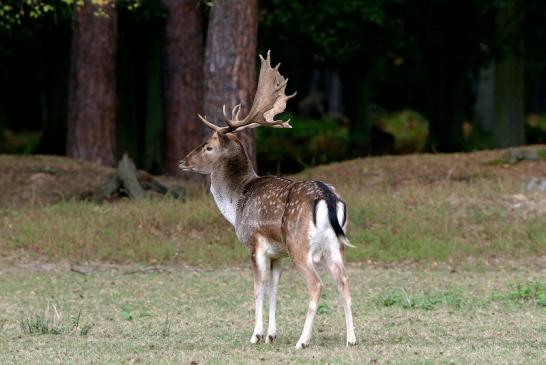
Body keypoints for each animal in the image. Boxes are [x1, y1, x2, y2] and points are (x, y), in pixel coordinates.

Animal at [178, 51, 356, 346]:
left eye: (208, 146)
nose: (183, 161)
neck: (236, 203)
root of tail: (328, 198)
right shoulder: (277, 253)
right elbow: (274, 289)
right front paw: (271, 334)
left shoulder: (254, 244)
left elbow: (258, 289)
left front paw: (256, 334)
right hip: (335, 245)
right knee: (344, 281)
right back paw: (351, 338)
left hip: (299, 244)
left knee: (316, 284)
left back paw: (302, 341)